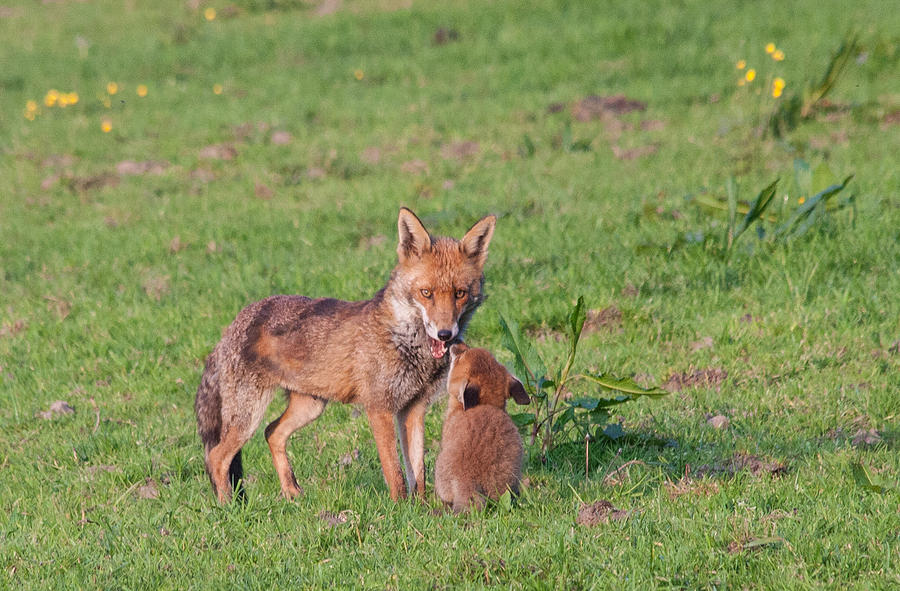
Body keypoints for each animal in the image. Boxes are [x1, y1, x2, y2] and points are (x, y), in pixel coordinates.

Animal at [194, 208, 500, 504]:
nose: (445, 334)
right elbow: (395, 472)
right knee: (217, 458)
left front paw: (422, 508)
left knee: (272, 433)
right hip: (249, 417)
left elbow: (418, 470)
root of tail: (233, 324)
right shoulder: (379, 407)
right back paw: (228, 508)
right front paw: (400, 508)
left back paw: (291, 494)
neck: (408, 344)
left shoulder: (413, 408)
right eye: (426, 293)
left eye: (460, 293)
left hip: (310, 407)